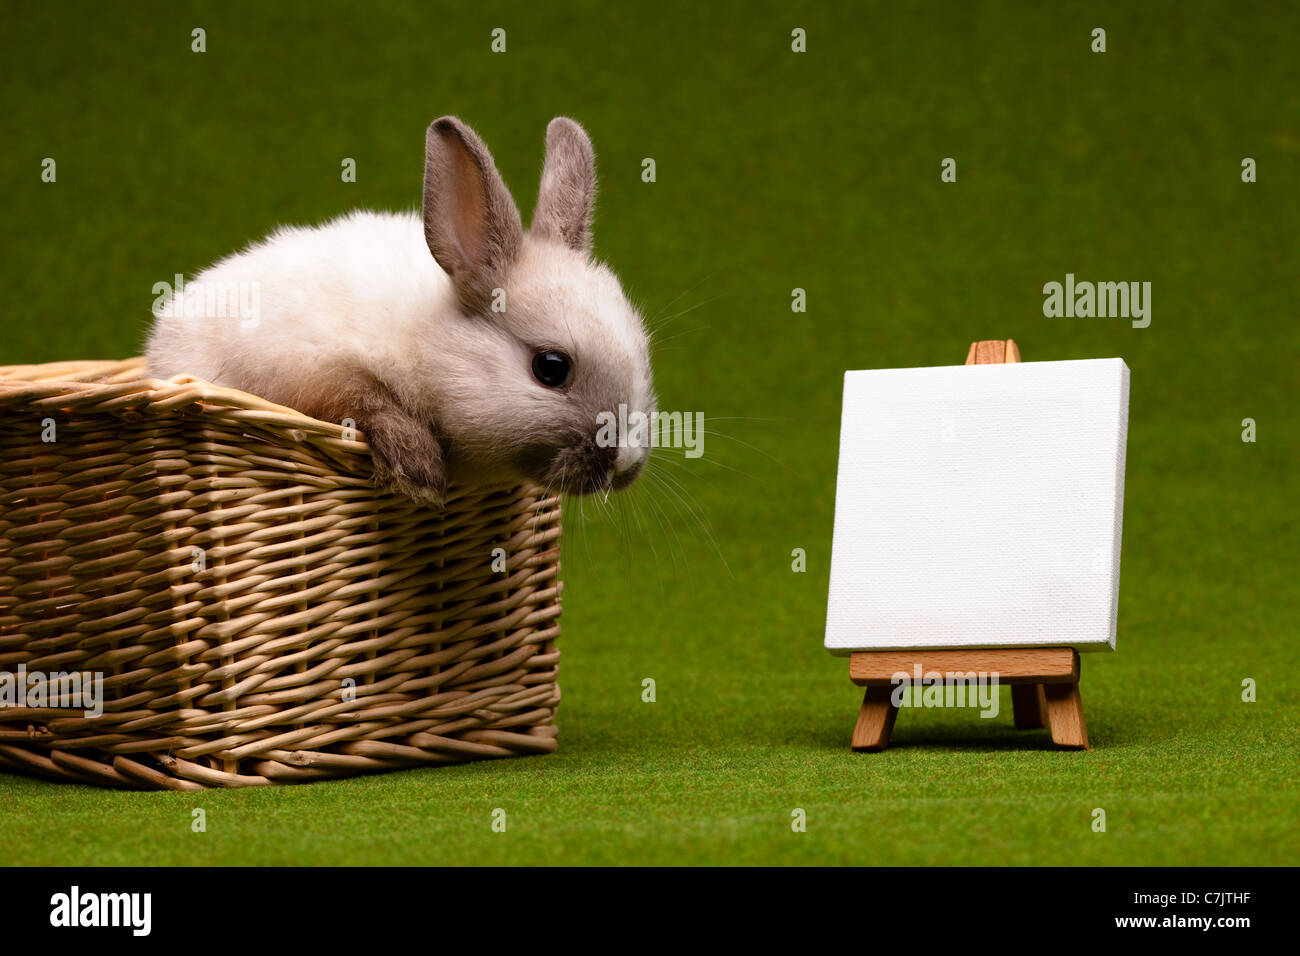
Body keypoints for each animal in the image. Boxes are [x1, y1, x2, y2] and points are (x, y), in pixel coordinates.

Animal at [146, 117, 655, 509]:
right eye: (551, 368)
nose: (626, 464)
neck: (428, 341)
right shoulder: (296, 365)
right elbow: (358, 395)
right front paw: (418, 468)